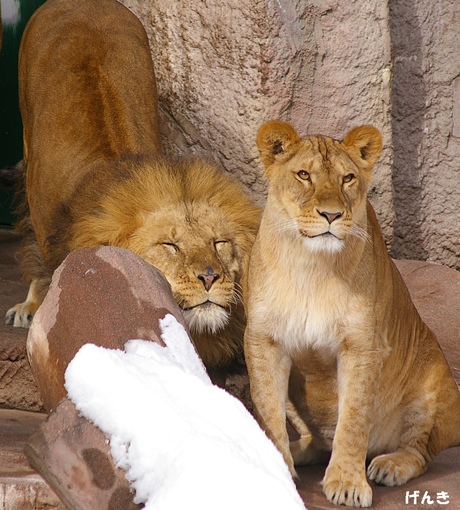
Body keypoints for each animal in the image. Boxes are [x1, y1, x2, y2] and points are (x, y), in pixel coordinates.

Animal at [244, 120, 460, 506]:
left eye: (347, 178)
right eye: (303, 175)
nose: (332, 215)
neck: (311, 266)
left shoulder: (361, 345)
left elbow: (354, 419)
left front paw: (347, 482)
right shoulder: (264, 340)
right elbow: (267, 410)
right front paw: (274, 470)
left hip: (433, 382)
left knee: (419, 451)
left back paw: (389, 465)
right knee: (317, 442)